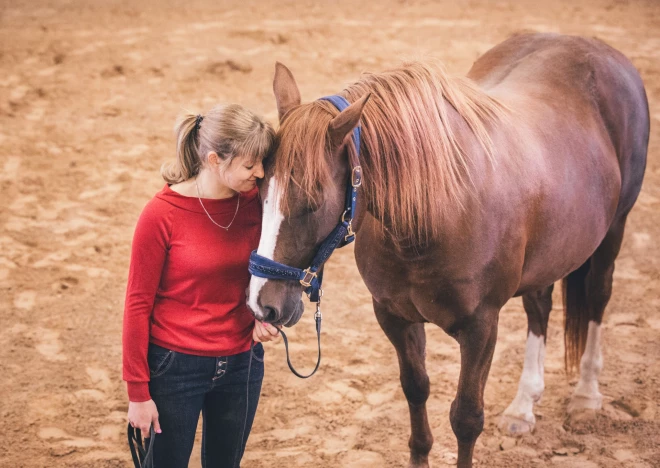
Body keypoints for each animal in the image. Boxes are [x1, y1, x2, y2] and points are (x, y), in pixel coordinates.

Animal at [245, 31, 648, 466]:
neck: (436, 216)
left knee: (597, 297)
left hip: (613, 232)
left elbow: (466, 417)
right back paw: (523, 407)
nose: (262, 304)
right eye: (259, 189)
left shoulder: (481, 327)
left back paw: (587, 395)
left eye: (314, 201)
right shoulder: (394, 316)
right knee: (539, 308)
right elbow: (415, 388)